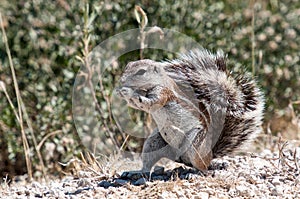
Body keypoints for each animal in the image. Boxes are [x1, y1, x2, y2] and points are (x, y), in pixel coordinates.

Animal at [116, 49, 264, 172]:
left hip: (196, 144)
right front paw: (121, 92)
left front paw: (128, 93)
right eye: (127, 66)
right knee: (148, 163)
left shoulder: (163, 94)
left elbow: (148, 103)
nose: (121, 81)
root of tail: (210, 155)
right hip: (153, 143)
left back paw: (200, 172)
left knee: (202, 167)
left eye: (141, 72)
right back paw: (137, 172)